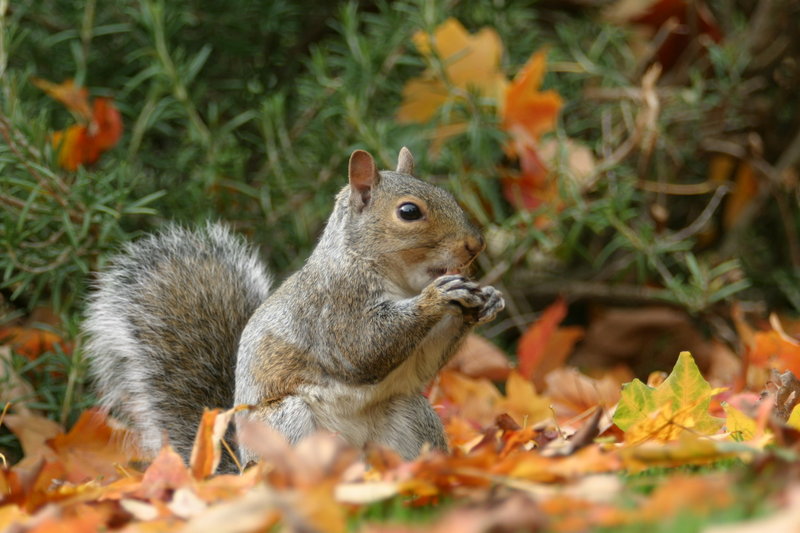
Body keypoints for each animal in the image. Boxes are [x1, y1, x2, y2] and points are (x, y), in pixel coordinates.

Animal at [83, 148, 506, 468]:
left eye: (446, 194)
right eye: (409, 212)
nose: (476, 244)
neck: (398, 280)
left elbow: (421, 363)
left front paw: (485, 300)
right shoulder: (331, 307)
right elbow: (362, 350)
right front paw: (437, 297)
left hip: (411, 415)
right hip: (286, 423)